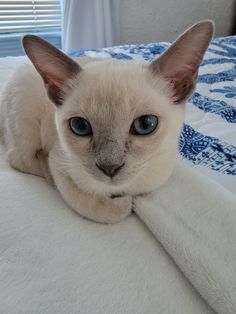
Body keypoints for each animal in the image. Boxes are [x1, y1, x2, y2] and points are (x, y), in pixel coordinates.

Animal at [0, 20, 214, 223]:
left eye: (145, 125)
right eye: (80, 126)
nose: (109, 168)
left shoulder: (156, 181)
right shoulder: (59, 164)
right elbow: (101, 208)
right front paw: (125, 204)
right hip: (27, 122)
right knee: (20, 159)